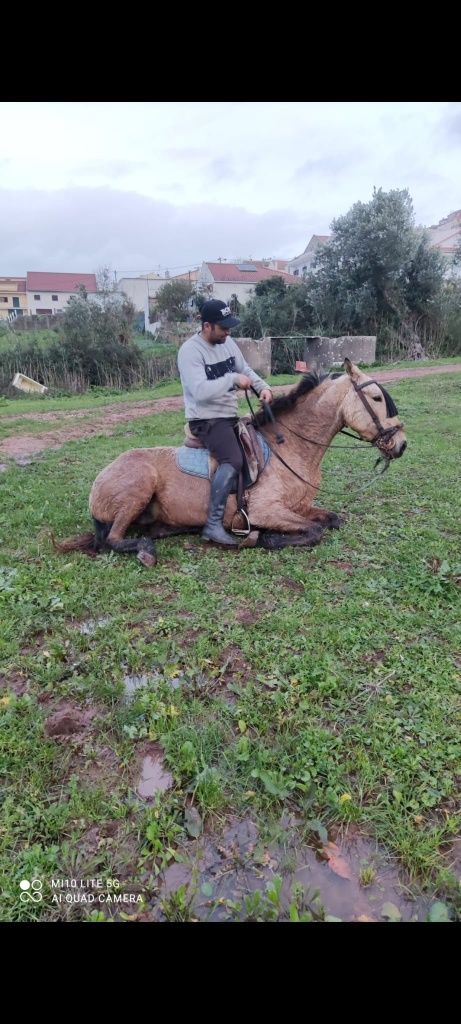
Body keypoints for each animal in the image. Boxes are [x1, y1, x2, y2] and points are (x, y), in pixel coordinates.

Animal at [54, 360, 407, 569]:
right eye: (376, 398)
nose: (401, 444)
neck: (288, 448)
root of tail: (101, 478)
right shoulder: (265, 511)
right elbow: (314, 530)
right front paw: (264, 539)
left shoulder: (300, 505)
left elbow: (331, 519)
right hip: (138, 489)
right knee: (112, 539)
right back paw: (148, 549)